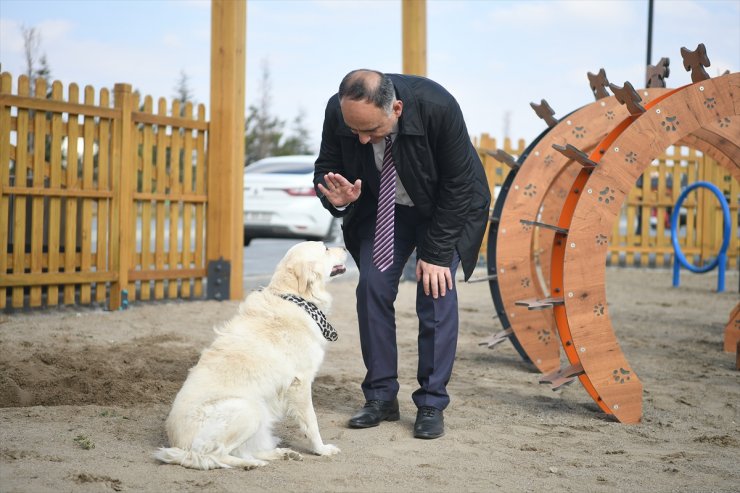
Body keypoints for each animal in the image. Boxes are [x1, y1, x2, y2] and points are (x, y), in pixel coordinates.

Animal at [154, 242, 350, 468]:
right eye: (325, 248)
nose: (345, 247)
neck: (295, 296)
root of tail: (180, 447)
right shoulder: (300, 383)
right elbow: (312, 422)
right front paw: (321, 450)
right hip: (250, 410)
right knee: (214, 455)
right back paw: (251, 464)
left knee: (244, 451)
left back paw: (281, 454)